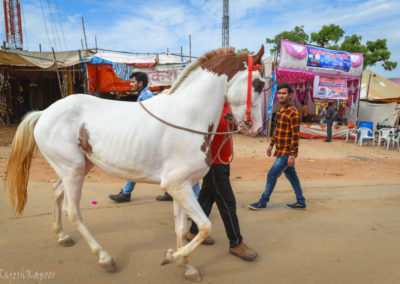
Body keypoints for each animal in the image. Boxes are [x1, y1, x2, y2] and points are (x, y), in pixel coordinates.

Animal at [5, 45, 266, 280]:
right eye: (259, 84)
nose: (256, 128)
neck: (188, 116)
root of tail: (44, 113)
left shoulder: (183, 186)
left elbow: (182, 229)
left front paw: (186, 266)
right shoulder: (176, 185)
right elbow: (204, 227)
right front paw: (171, 257)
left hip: (77, 167)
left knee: (57, 192)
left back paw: (62, 236)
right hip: (73, 171)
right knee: (73, 211)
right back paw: (104, 257)